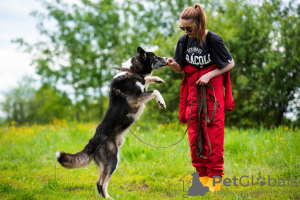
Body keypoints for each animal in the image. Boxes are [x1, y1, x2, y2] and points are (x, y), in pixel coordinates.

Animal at [56, 47, 168, 198]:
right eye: (155, 57)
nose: (168, 59)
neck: (132, 71)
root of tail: (92, 142)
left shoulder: (142, 88)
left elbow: (147, 79)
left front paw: (157, 79)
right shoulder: (135, 99)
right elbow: (154, 90)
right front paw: (161, 101)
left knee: (100, 182)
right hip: (112, 160)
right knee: (100, 183)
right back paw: (109, 198)